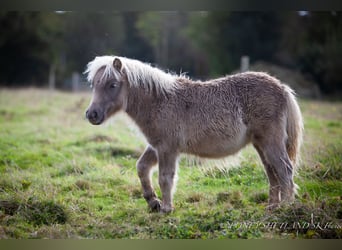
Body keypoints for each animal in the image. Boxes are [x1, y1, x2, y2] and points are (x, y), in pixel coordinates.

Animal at [84, 55, 304, 213]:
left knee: (285, 170)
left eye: (112, 85)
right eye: (94, 84)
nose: (91, 114)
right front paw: (153, 201)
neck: (160, 101)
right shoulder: (156, 147)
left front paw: (166, 208)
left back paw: (285, 208)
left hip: (271, 143)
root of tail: (282, 88)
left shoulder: (167, 149)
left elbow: (165, 177)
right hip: (261, 145)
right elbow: (142, 168)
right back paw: (272, 207)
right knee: (272, 173)